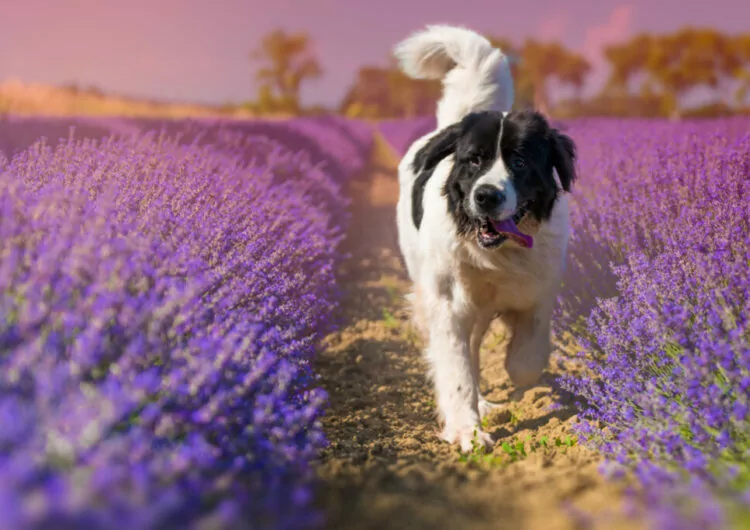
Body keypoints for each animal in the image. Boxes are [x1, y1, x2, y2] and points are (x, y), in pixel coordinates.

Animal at [394, 24, 580, 450]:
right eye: (474, 160)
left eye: (520, 162)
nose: (486, 195)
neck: (499, 254)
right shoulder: (449, 305)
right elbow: (457, 370)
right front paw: (467, 430)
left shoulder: (540, 289)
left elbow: (529, 356)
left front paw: (519, 376)